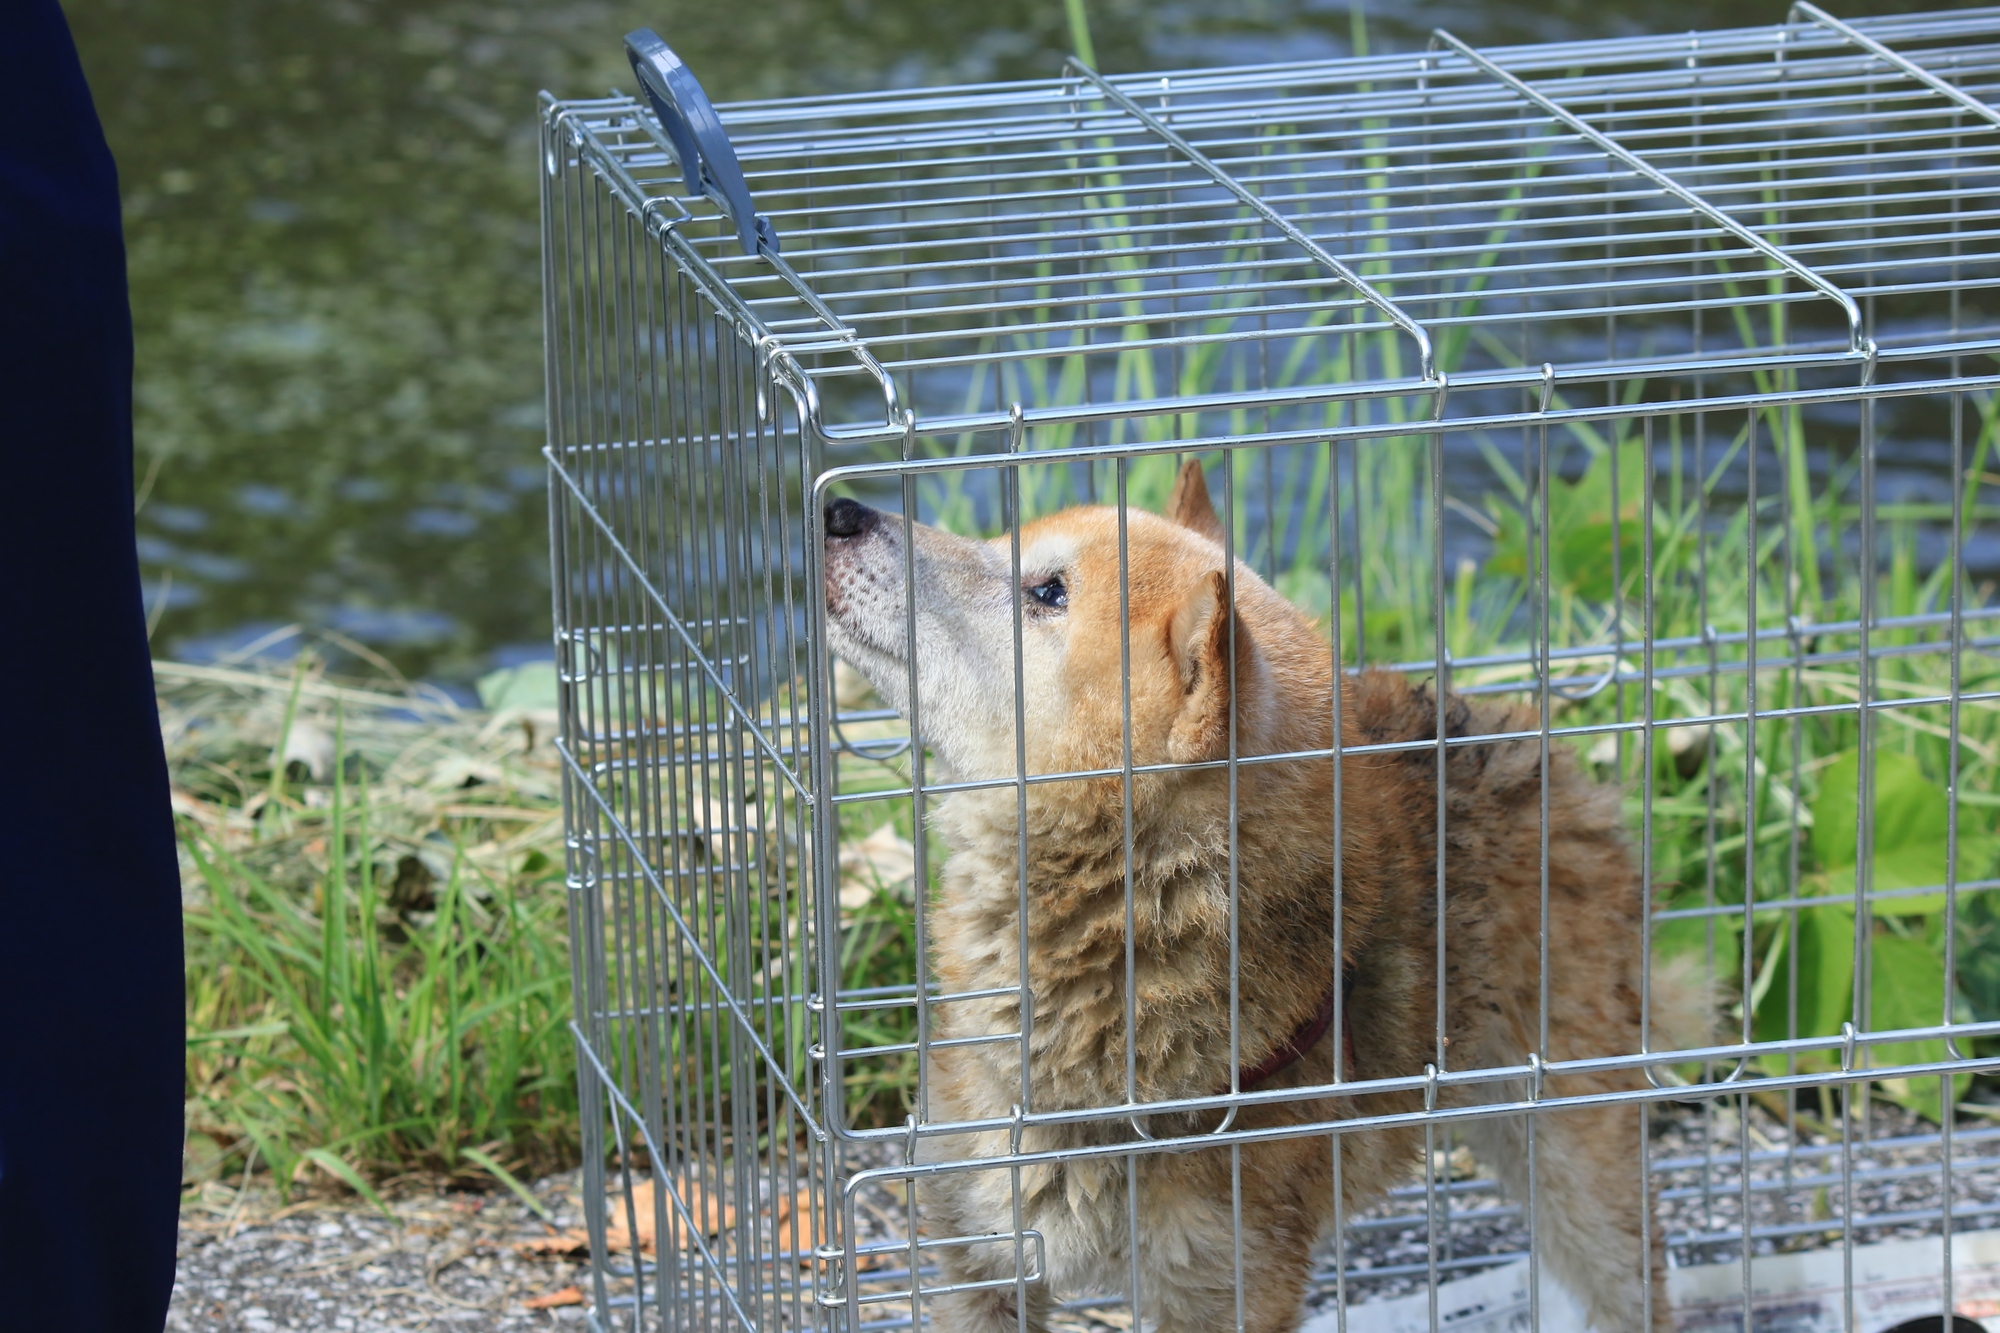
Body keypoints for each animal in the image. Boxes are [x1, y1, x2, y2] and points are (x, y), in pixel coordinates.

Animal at [820, 466, 1680, 1328]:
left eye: (1048, 591)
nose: (839, 511)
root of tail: (1519, 734)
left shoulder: (1226, 1281)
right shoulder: (976, 1247)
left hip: (1574, 1158)